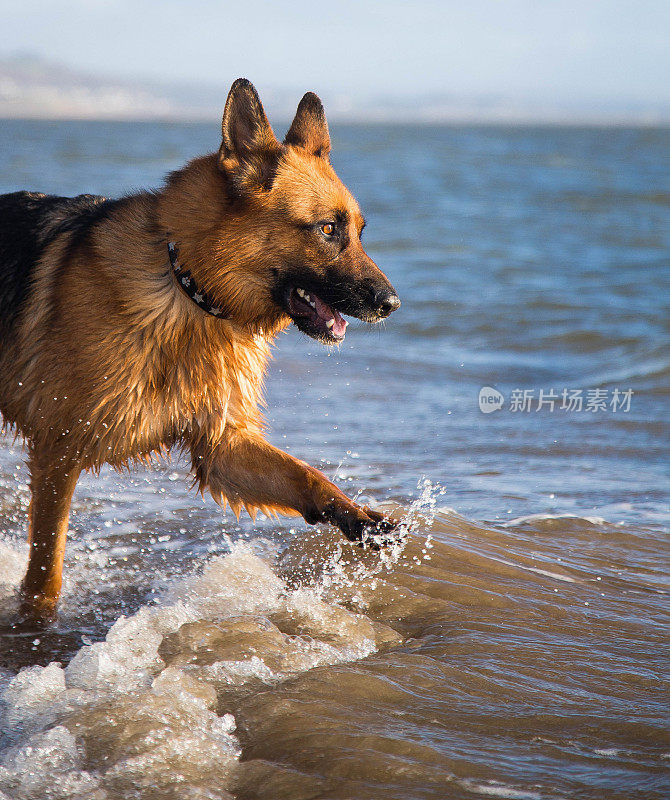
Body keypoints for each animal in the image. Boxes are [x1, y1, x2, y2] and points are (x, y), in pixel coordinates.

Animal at [0, 79, 400, 620]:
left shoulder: (223, 447)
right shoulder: (58, 455)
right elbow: (46, 573)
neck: (186, 290)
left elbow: (307, 476)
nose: (393, 304)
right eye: (326, 229)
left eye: (358, 231)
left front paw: (359, 516)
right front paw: (36, 621)